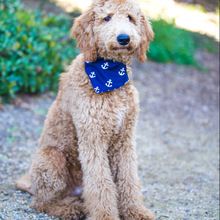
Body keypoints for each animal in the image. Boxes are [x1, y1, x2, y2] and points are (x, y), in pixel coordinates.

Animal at [15, 0, 155, 219]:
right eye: (107, 18)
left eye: (130, 18)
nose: (124, 38)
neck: (109, 74)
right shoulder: (92, 137)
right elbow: (101, 183)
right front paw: (105, 215)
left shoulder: (125, 139)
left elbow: (128, 179)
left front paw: (135, 211)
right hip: (52, 158)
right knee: (41, 203)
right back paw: (70, 209)